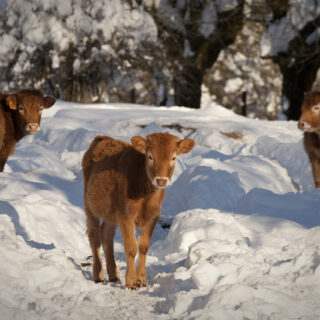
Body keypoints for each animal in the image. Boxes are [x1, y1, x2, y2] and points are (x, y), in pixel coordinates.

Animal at [81, 132, 194, 288]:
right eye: (150, 156)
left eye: (173, 157)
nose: (161, 180)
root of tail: (102, 138)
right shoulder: (126, 216)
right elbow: (131, 247)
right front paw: (131, 281)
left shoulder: (153, 216)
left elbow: (143, 246)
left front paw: (141, 279)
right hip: (90, 206)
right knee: (94, 236)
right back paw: (98, 275)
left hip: (111, 214)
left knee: (107, 235)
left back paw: (114, 275)